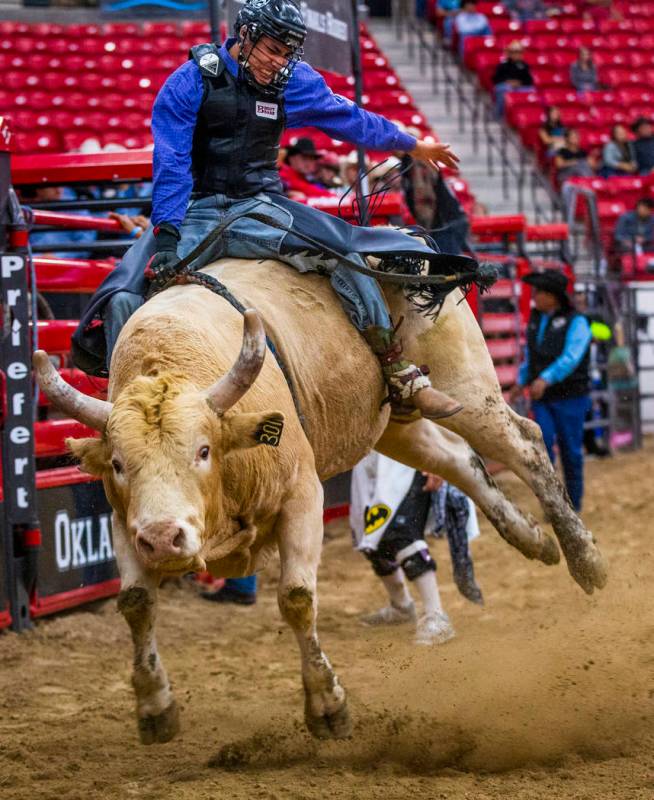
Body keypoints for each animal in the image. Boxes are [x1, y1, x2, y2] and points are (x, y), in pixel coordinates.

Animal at [33, 255, 608, 744]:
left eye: (202, 450)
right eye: (118, 464)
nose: (163, 539)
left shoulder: (302, 496)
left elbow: (295, 598)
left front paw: (328, 706)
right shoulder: (123, 519)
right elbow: (136, 602)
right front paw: (155, 709)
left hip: (466, 384)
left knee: (526, 443)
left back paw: (585, 558)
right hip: (393, 422)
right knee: (457, 460)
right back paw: (532, 539)